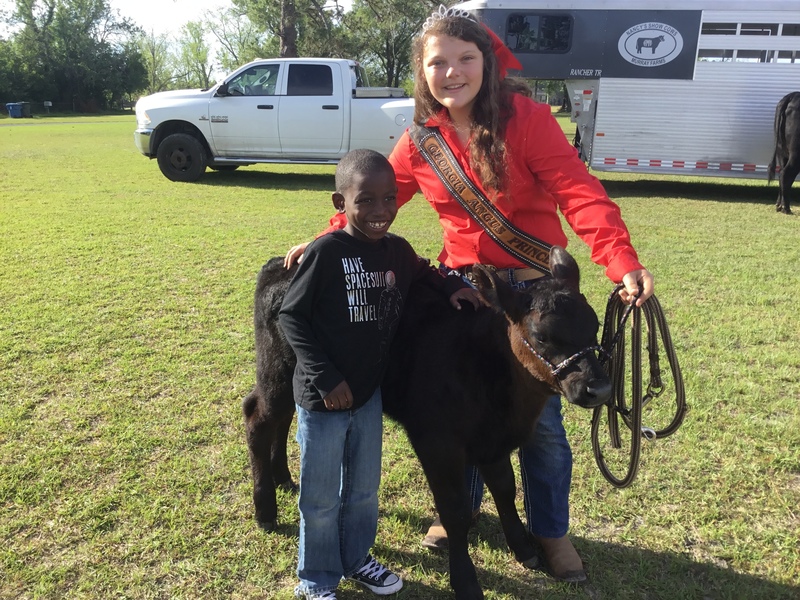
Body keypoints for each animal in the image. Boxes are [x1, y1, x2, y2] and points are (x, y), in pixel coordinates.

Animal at [244, 246, 612, 596]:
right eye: (542, 336)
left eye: (595, 327)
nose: (599, 387)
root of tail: (280, 264)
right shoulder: (437, 443)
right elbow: (456, 511)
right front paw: (466, 582)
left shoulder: (492, 442)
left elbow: (506, 490)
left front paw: (524, 549)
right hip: (277, 370)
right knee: (257, 417)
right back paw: (266, 511)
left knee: (283, 418)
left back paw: (284, 478)